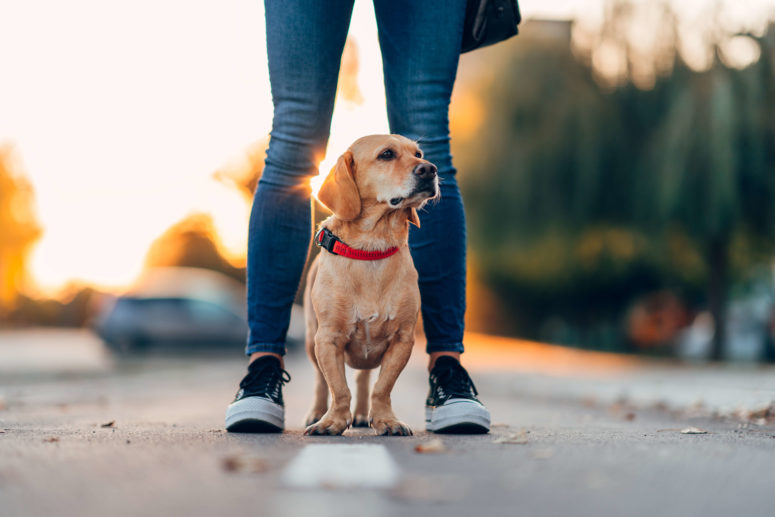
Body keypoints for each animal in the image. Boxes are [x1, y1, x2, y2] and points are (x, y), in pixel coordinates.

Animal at [302, 134, 436, 436]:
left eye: (418, 153)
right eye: (386, 154)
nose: (430, 169)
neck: (371, 249)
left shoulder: (402, 339)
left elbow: (382, 387)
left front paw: (385, 420)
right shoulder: (328, 339)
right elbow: (338, 388)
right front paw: (332, 422)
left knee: (363, 379)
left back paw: (363, 414)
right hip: (311, 340)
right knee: (320, 381)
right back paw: (316, 412)